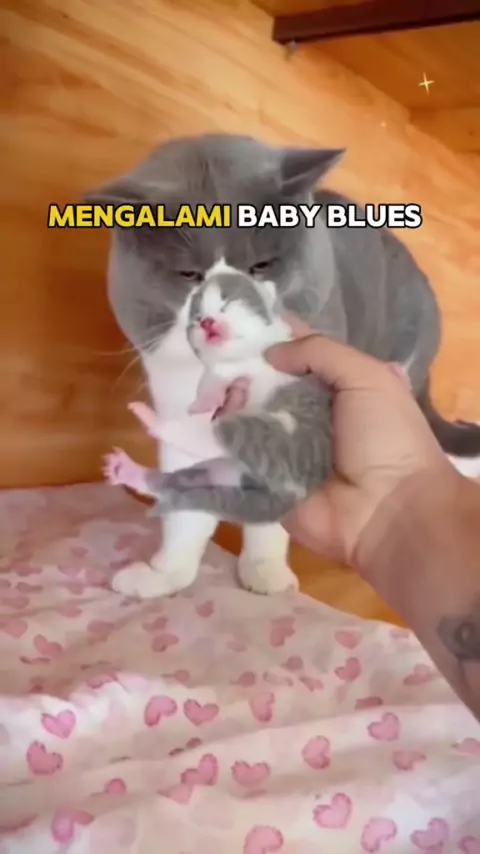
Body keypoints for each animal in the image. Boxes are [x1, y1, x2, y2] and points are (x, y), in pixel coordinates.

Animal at [85, 133, 480, 599]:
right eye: (189, 274)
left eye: (261, 265)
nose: (219, 313)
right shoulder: (174, 398)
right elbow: (185, 513)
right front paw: (166, 574)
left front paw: (265, 571)